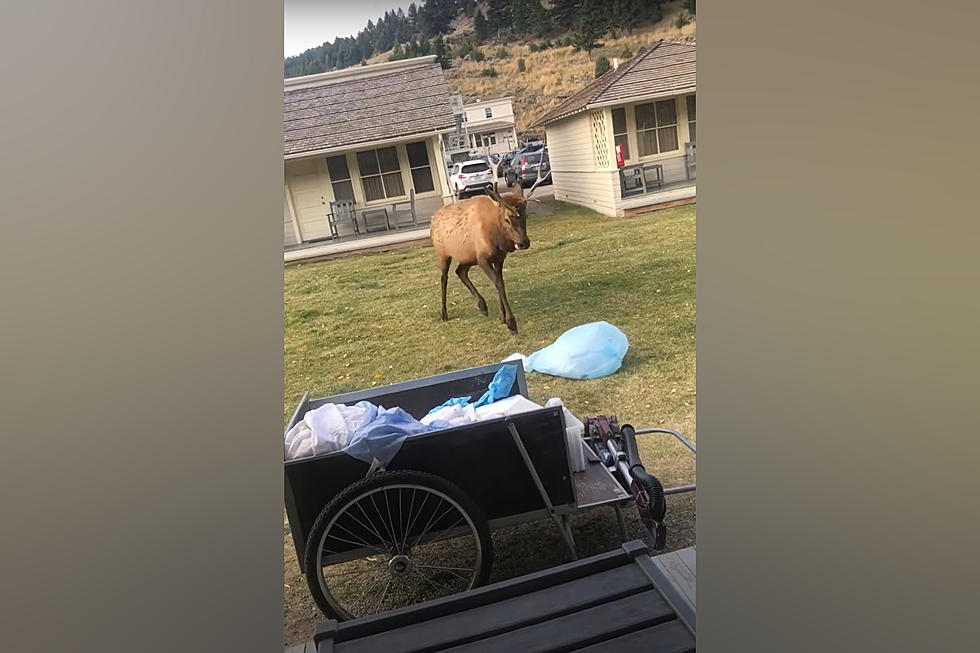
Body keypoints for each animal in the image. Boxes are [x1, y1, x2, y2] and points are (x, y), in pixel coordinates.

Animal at [430, 171, 552, 334]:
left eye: (526, 216)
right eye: (507, 219)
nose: (523, 243)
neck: (497, 237)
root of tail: (432, 219)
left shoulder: (498, 257)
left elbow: (499, 281)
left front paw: (502, 317)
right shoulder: (482, 258)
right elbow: (498, 283)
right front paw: (511, 323)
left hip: (468, 258)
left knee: (460, 272)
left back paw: (482, 305)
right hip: (443, 254)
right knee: (444, 278)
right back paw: (444, 313)